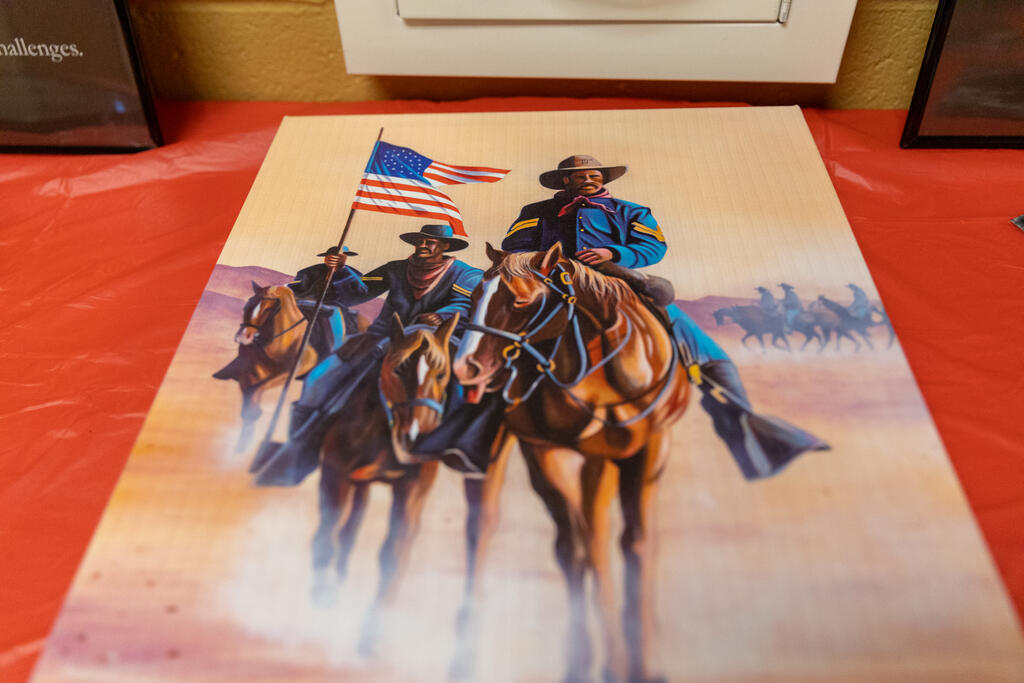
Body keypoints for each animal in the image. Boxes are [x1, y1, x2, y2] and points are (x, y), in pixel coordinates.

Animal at [454, 242, 691, 683]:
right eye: (474, 296)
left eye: (520, 300)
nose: (467, 367)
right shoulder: (556, 455)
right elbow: (588, 549)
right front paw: (608, 663)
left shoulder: (648, 449)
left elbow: (637, 543)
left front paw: (642, 662)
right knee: (487, 525)